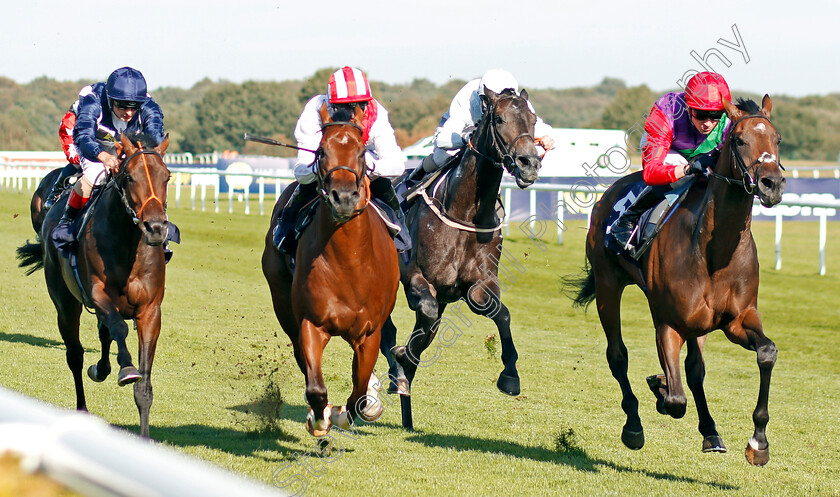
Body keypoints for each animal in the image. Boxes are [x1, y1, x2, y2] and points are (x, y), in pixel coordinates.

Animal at [17, 133, 172, 438]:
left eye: (167, 176)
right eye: (130, 177)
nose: (156, 228)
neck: (128, 245)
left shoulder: (150, 311)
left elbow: (144, 385)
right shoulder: (97, 293)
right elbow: (119, 328)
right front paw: (127, 368)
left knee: (102, 334)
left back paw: (101, 368)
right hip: (65, 303)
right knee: (75, 354)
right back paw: (83, 405)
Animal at [262, 103, 400, 434]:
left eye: (362, 152)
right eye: (321, 151)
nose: (344, 198)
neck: (349, 262)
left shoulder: (369, 333)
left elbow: (359, 393)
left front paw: (348, 411)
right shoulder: (311, 324)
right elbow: (315, 387)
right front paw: (321, 417)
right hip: (282, 302)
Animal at [382, 85, 540, 426]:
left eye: (533, 119)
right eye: (499, 118)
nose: (529, 163)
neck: (466, 212)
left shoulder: (478, 285)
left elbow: (500, 314)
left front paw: (510, 377)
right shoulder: (414, 276)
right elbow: (422, 312)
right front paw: (399, 357)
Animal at [568, 97, 784, 464]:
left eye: (778, 139)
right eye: (739, 140)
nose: (772, 183)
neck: (715, 250)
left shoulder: (737, 319)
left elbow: (766, 352)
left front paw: (758, 442)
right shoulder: (669, 322)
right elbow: (675, 400)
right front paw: (659, 387)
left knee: (695, 371)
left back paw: (710, 431)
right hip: (608, 286)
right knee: (618, 355)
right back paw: (634, 424)